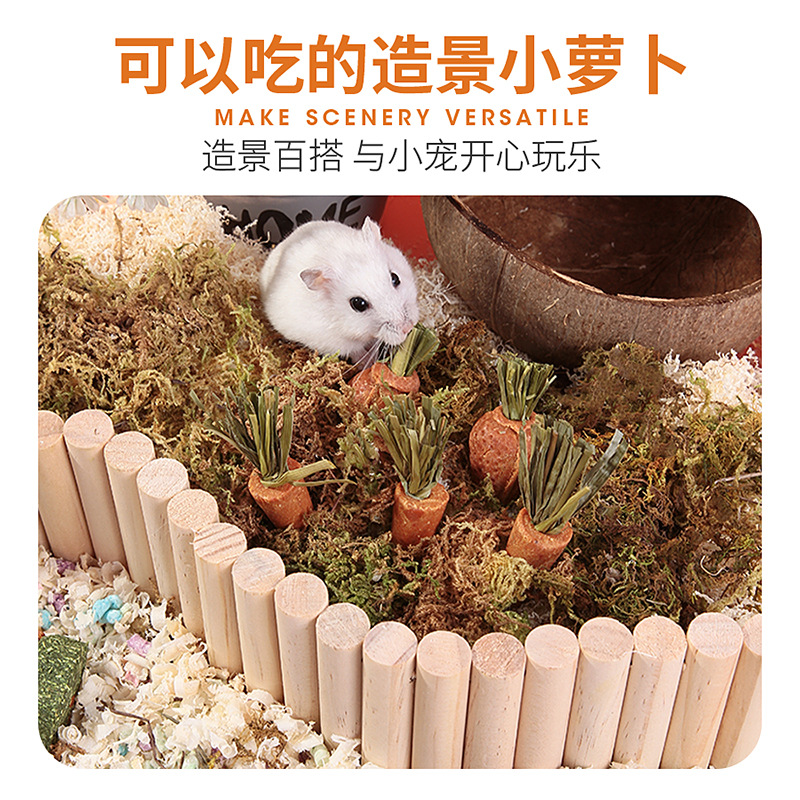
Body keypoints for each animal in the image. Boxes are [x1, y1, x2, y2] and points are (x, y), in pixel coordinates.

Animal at [259, 217, 419, 365]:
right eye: (358, 304)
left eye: (395, 278)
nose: (408, 327)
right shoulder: (335, 342)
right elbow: (356, 351)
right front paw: (369, 362)